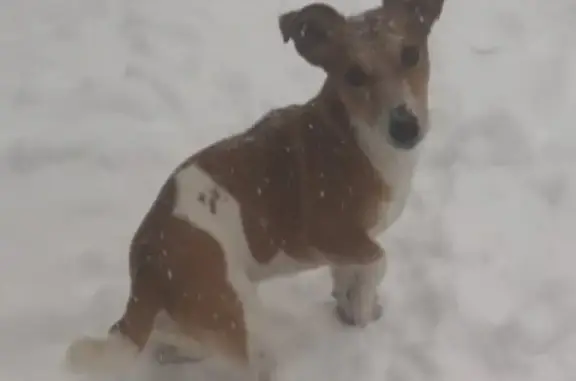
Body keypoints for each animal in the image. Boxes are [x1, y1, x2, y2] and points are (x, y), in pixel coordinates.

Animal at [66, 0, 446, 378]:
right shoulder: (331, 235)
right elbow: (377, 262)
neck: (357, 134)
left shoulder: (348, 248)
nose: (405, 127)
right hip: (243, 320)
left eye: (411, 55)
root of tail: (148, 272)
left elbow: (348, 277)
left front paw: (351, 306)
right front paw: (364, 310)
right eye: (354, 75)